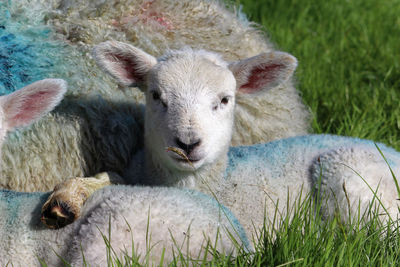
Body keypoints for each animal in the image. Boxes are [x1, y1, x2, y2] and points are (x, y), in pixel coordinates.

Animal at [43, 43, 400, 242]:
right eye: (156, 95)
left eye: (225, 100)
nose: (187, 143)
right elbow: (110, 177)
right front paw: (66, 199)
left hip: (351, 177)